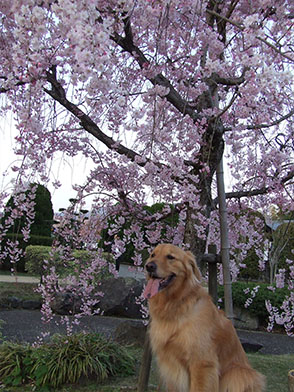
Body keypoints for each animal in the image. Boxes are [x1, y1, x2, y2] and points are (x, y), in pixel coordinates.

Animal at [144, 243, 266, 390]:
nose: (149, 266)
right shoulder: (170, 365)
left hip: (238, 374)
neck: (176, 304)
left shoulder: (202, 363)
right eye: (153, 255)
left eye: (170, 257)